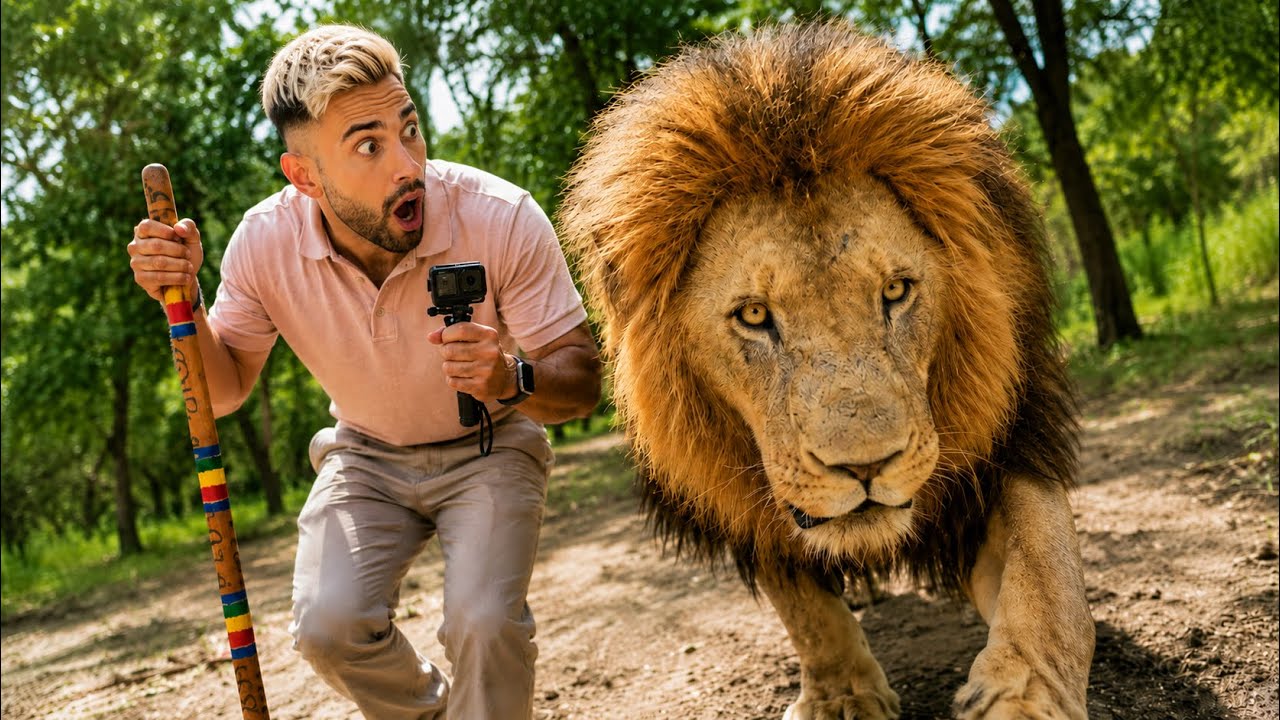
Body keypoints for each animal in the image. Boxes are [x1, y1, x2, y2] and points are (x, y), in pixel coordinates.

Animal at [558, 21, 1095, 720]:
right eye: (754, 315)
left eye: (895, 291)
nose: (865, 468)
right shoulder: (745, 496)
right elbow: (804, 605)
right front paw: (842, 696)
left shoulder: (1015, 434)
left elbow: (1045, 564)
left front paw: (1026, 693)